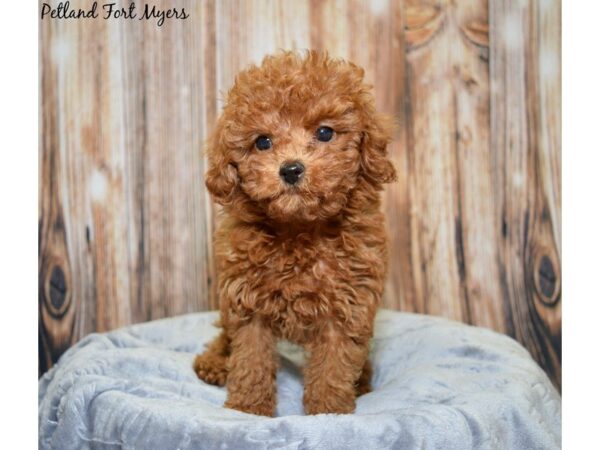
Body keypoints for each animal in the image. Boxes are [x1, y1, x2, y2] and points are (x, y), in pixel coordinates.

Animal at [195, 51, 396, 416]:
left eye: (325, 132)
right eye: (262, 141)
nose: (290, 169)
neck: (298, 229)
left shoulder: (347, 306)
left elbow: (333, 367)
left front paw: (328, 412)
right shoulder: (247, 302)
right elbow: (250, 360)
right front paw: (247, 409)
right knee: (225, 334)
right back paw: (215, 363)